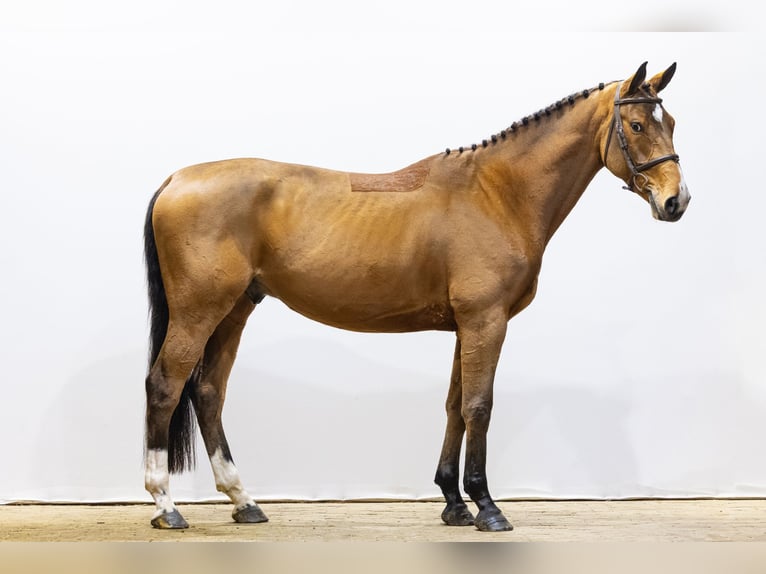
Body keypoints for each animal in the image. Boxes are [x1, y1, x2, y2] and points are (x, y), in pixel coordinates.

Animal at [143, 62, 690, 531]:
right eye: (636, 124)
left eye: (670, 121)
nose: (676, 201)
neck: (498, 193)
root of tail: (176, 179)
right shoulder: (486, 321)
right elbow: (479, 407)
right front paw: (487, 507)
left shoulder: (466, 326)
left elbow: (453, 405)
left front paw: (453, 504)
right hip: (198, 312)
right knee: (165, 386)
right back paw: (167, 506)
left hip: (234, 310)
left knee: (208, 392)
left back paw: (245, 502)